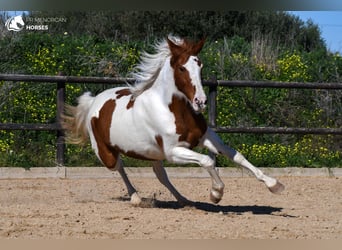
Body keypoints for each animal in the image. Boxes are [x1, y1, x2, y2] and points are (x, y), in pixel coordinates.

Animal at [62, 36, 284, 205]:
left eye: (200, 65)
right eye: (181, 68)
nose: (201, 101)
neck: (174, 111)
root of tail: (93, 102)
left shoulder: (206, 137)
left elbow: (236, 156)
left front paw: (274, 184)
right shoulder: (173, 152)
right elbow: (207, 161)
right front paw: (216, 193)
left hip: (152, 153)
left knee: (160, 174)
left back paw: (183, 200)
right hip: (106, 153)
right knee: (120, 168)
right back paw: (136, 198)